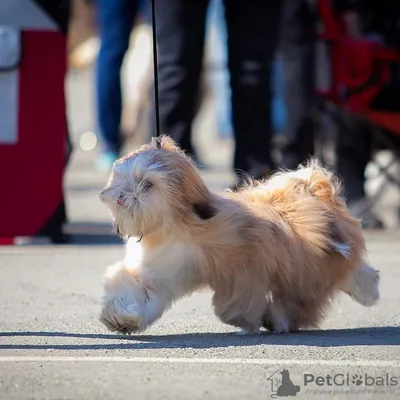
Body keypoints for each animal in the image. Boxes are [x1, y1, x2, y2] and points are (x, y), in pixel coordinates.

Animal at [98, 136, 380, 336]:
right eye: (120, 179)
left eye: (147, 184)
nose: (121, 196)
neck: (176, 227)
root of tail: (313, 188)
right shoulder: (162, 272)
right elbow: (137, 291)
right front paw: (121, 318)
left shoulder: (243, 271)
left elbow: (236, 301)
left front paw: (245, 321)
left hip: (306, 268)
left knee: (305, 297)